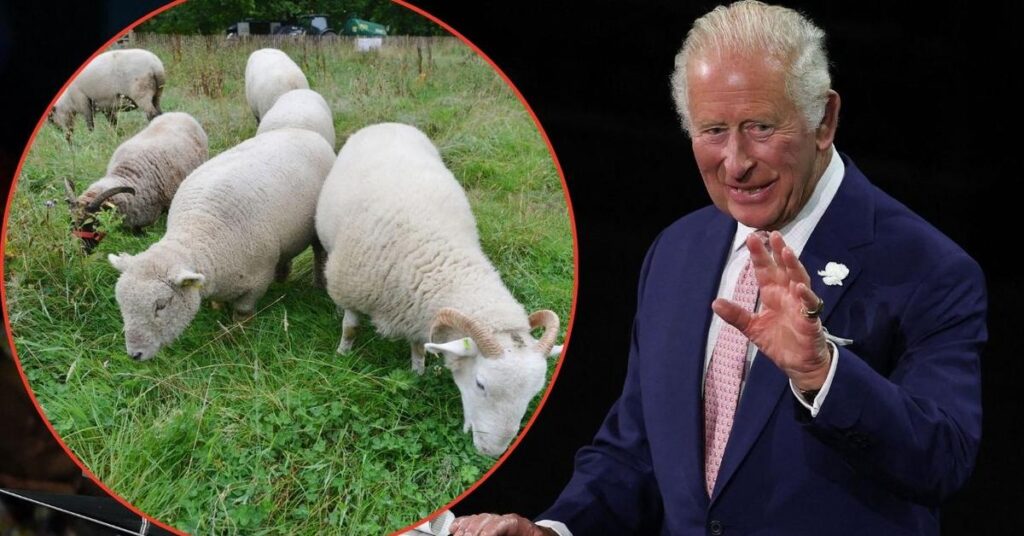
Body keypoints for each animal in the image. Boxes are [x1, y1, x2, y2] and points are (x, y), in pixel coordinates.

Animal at [108, 128, 335, 361]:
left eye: (161, 305)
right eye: (121, 304)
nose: (135, 354)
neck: (199, 231)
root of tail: (301, 130)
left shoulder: (258, 280)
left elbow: (243, 313)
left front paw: (240, 335)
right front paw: (217, 307)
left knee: (319, 253)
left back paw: (318, 284)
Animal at [316, 123, 563, 457]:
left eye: (534, 392)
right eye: (480, 384)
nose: (492, 452)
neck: (437, 257)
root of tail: (389, 123)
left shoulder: (416, 314)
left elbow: (419, 347)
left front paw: (417, 372)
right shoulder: (352, 289)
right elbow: (350, 327)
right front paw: (342, 355)